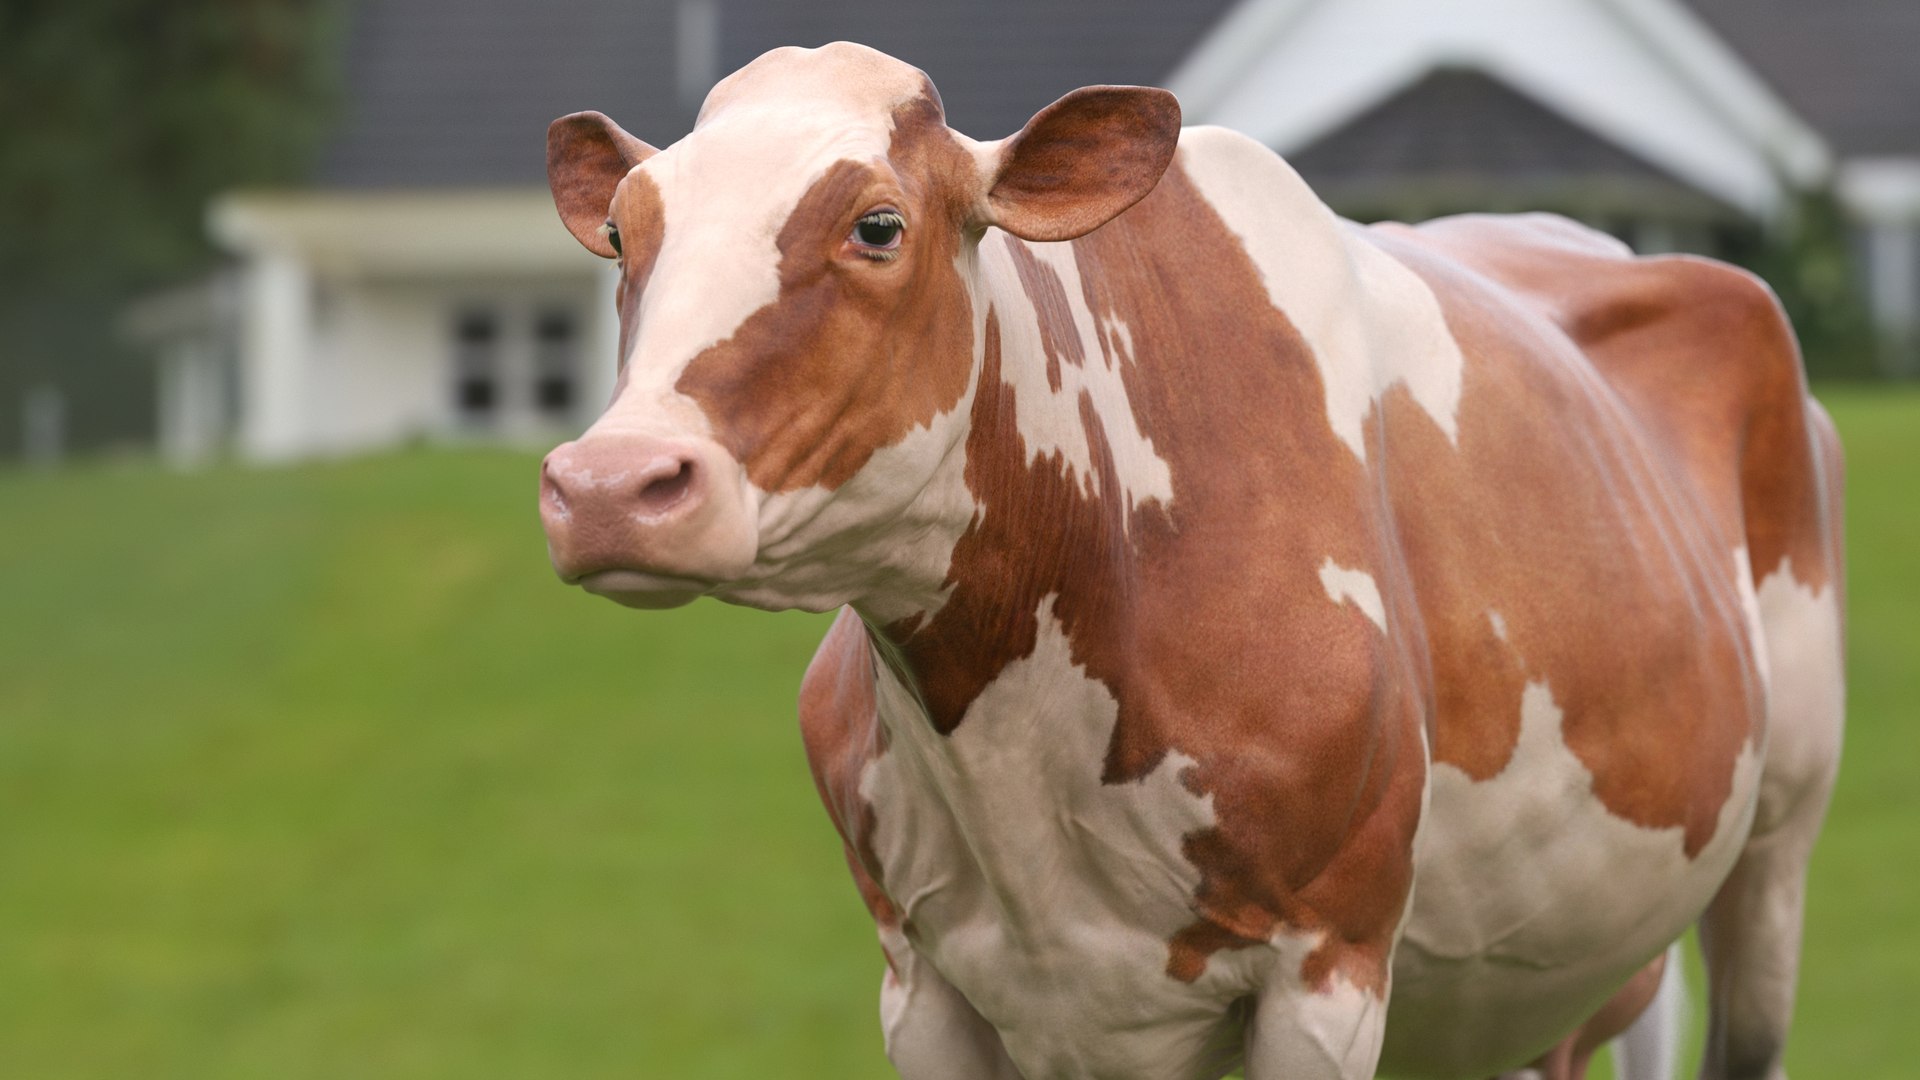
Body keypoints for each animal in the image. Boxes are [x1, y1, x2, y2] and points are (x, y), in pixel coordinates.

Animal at [536, 42, 1845, 1080]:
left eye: (877, 225)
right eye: (624, 233)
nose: (610, 486)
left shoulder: (1330, 968)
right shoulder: (931, 985)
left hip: (1773, 852)